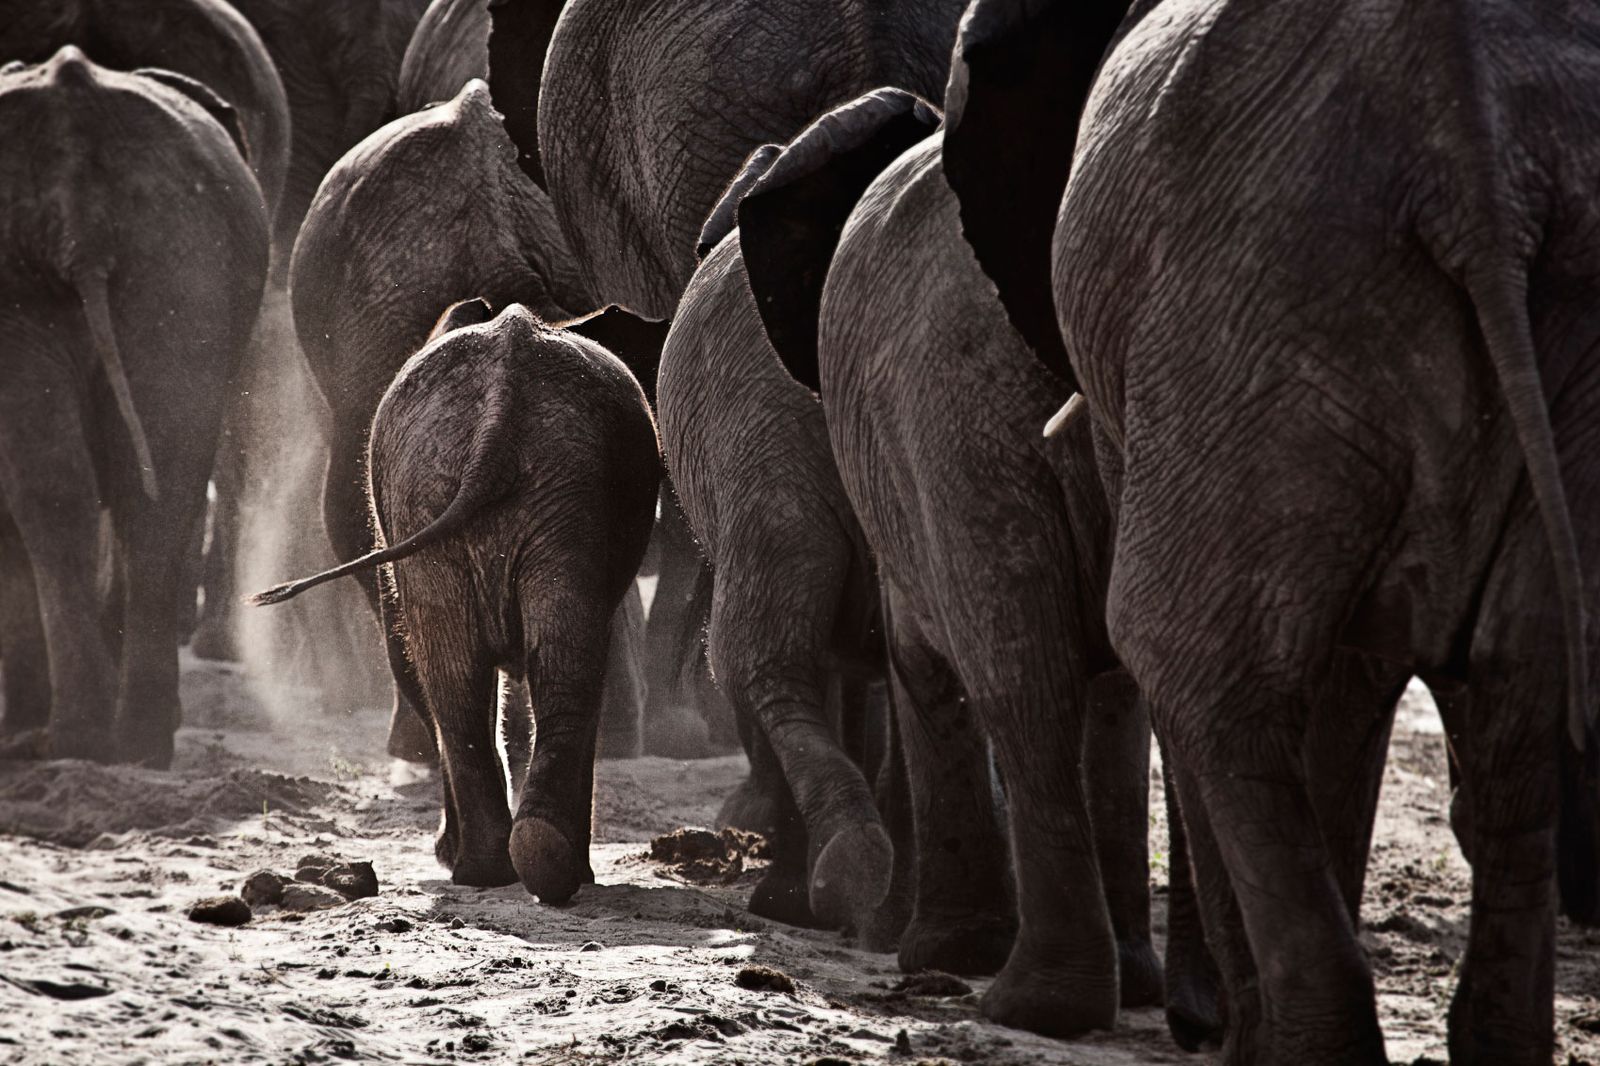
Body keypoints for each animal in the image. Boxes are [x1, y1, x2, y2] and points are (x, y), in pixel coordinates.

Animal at [251, 300, 662, 896]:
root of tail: (501, 402)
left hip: (505, 489)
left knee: (481, 671)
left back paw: (508, 867)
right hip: (480, 488)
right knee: (509, 666)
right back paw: (511, 868)